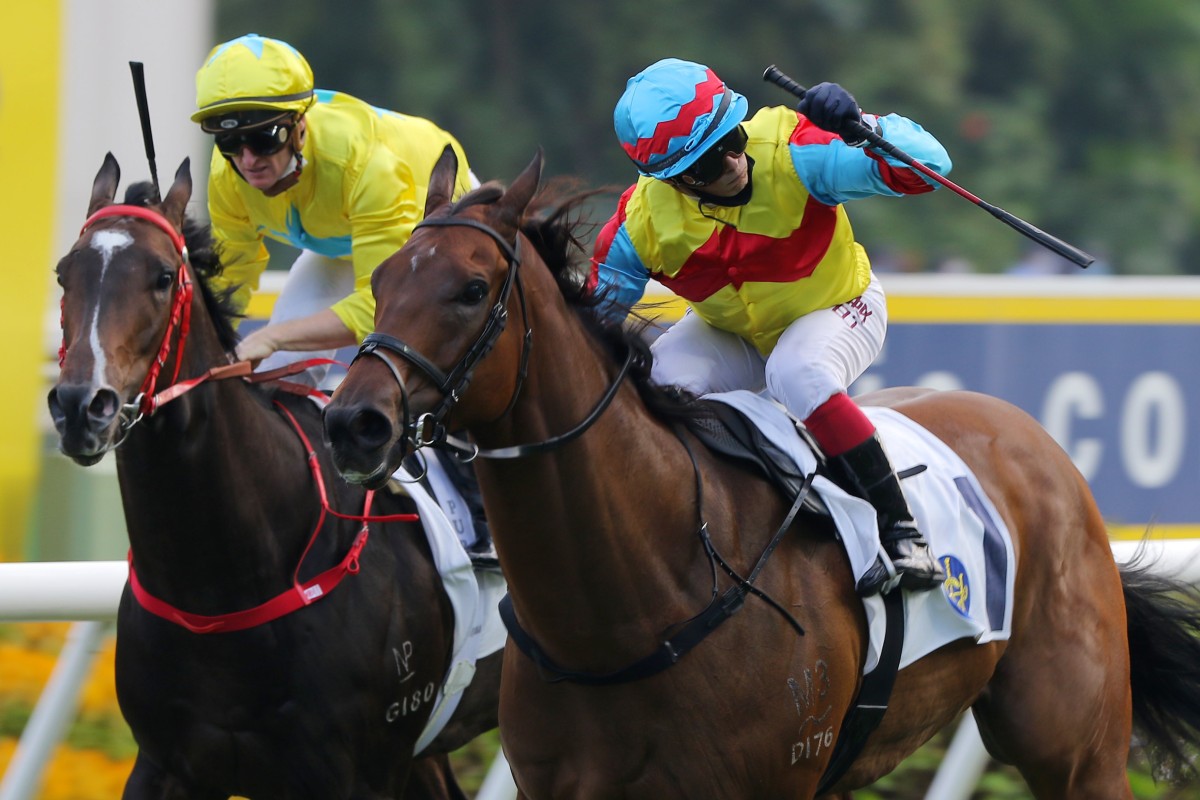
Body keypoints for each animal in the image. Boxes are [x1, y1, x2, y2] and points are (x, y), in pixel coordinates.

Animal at [50, 151, 501, 800]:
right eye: (65, 274)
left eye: (162, 277)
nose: (83, 406)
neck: (221, 584)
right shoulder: (167, 762)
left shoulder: (354, 773)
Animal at [321, 146, 1200, 796]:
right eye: (380, 280)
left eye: (472, 289)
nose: (353, 422)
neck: (634, 602)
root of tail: (1036, 439)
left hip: (1074, 746)